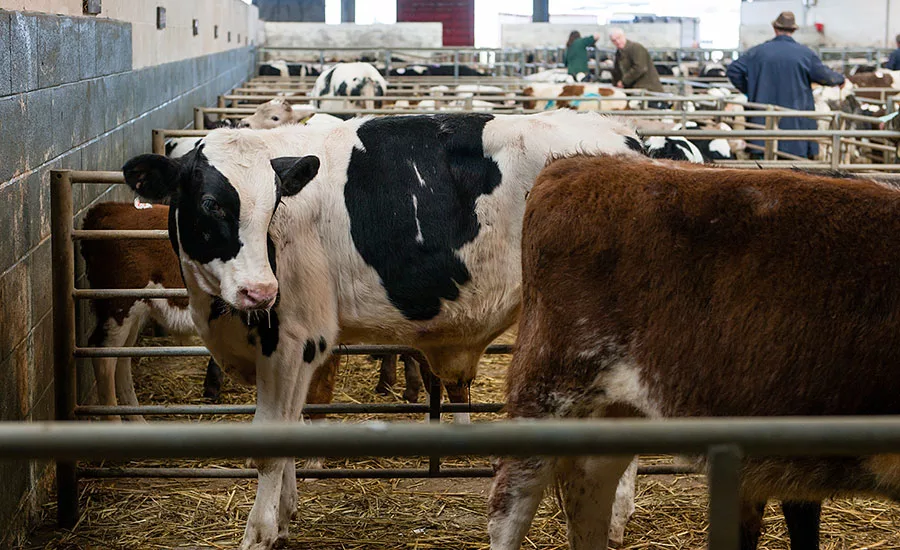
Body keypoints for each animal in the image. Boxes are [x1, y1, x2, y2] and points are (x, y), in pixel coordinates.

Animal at [121, 110, 646, 549]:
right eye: (210, 204)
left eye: (273, 206)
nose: (261, 291)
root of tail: (622, 135)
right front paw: (285, 518)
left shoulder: (294, 340)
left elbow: (271, 444)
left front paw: (261, 534)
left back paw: (614, 520)